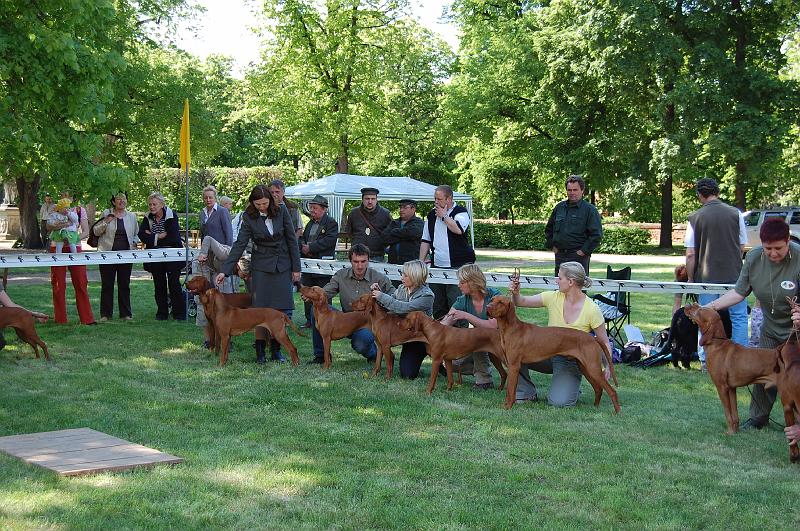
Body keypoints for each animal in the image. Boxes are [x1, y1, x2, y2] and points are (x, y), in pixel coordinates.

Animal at [482, 298, 620, 414]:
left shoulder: (514, 366)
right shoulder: (512, 365)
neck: (510, 328)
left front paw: (508, 407)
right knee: (598, 388)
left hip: (593, 368)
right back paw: (595, 407)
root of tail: (593, 338)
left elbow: (510, 391)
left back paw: (617, 412)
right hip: (585, 368)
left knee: (612, 391)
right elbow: (509, 391)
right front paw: (507, 405)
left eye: (501, 302)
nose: (487, 307)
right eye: (491, 300)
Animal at [684, 304, 780, 436]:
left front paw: (729, 432)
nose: (687, 305)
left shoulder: (722, 387)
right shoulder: (731, 388)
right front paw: (735, 431)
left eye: (700, 310)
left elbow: (727, 412)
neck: (717, 344)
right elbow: (734, 414)